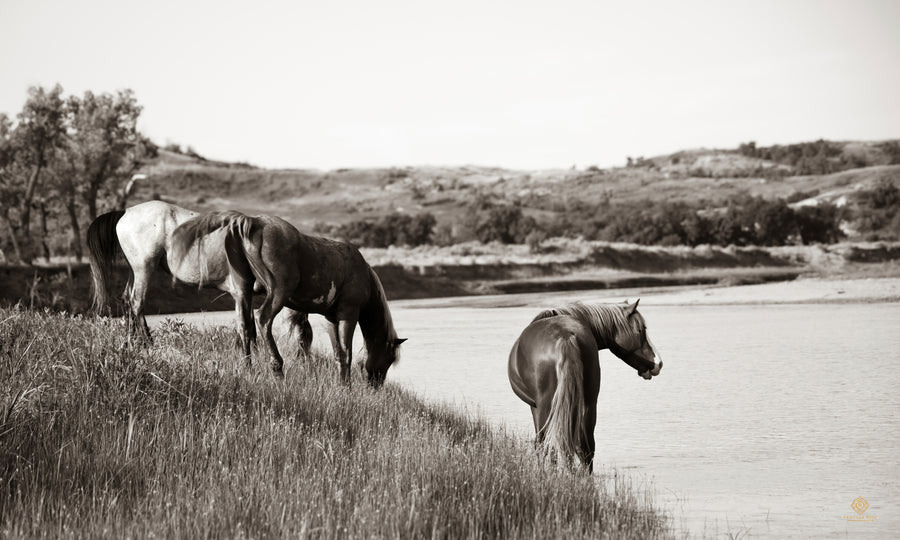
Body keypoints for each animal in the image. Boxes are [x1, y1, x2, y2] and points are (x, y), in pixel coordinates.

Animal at [88, 200, 312, 356]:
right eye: (305, 335)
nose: (305, 358)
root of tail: (126, 212)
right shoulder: (242, 292)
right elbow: (248, 327)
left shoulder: (245, 293)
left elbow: (249, 326)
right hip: (144, 269)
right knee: (136, 303)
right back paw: (143, 344)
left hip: (135, 270)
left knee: (128, 300)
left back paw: (132, 343)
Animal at [170, 209, 408, 386]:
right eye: (389, 357)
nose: (376, 384)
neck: (362, 273)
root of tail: (253, 221)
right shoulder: (348, 314)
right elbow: (346, 353)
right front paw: (346, 387)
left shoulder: (332, 318)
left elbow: (338, 353)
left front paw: (342, 385)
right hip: (278, 292)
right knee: (263, 319)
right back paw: (277, 368)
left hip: (242, 291)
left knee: (244, 327)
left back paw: (248, 368)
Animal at [506, 300, 660, 472]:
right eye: (641, 330)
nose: (658, 363)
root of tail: (565, 336)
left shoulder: (534, 407)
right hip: (588, 404)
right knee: (585, 446)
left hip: (546, 407)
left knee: (547, 442)